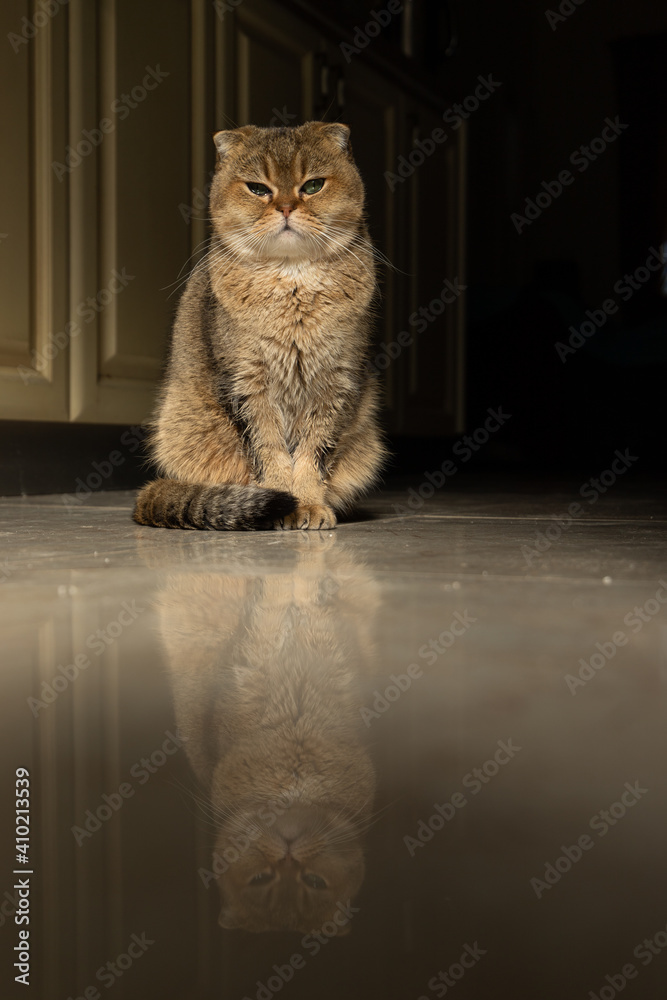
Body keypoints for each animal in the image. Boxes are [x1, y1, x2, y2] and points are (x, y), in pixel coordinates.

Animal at [133, 121, 386, 532]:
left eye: (313, 186)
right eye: (257, 188)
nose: (285, 207)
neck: (292, 283)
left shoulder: (338, 382)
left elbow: (313, 454)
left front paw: (310, 504)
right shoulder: (245, 383)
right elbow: (269, 452)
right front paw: (284, 504)